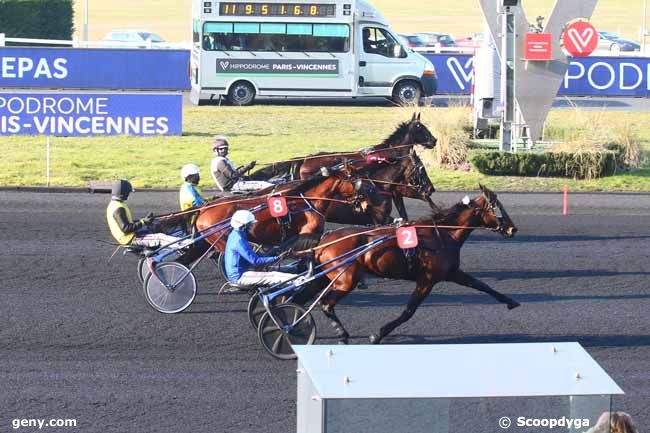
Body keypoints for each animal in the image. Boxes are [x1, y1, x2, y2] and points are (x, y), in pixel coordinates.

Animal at [302, 186, 520, 344]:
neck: (443, 234)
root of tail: (325, 238)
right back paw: (341, 334)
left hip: (326, 277)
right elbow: (409, 311)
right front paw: (378, 335)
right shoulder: (427, 279)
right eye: (497, 207)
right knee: (325, 303)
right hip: (347, 279)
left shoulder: (452, 272)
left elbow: (481, 285)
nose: (512, 229)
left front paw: (511, 301)